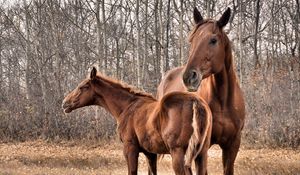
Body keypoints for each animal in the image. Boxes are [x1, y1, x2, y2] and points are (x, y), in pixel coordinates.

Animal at [62, 66, 212, 174]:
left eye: (83, 87)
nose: (65, 103)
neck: (126, 107)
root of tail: (195, 102)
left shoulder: (130, 148)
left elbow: (132, 171)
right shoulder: (150, 153)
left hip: (178, 153)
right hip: (201, 154)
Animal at [158, 7, 245, 174]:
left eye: (213, 40)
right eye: (192, 40)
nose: (188, 76)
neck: (223, 102)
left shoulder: (232, 145)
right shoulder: (203, 147)